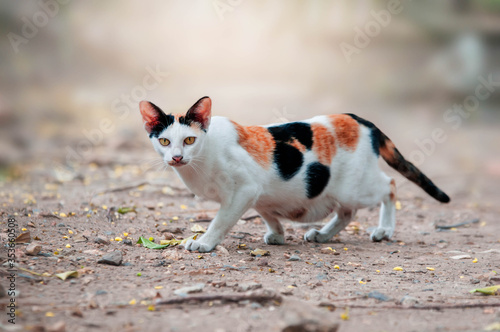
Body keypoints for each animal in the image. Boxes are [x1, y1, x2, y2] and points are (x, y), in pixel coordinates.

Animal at [140, 96, 450, 252]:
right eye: (164, 141)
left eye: (189, 140)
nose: (176, 157)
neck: (201, 161)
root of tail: (361, 120)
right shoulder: (257, 193)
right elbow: (266, 212)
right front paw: (277, 234)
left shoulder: (244, 190)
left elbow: (220, 222)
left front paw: (204, 243)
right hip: (341, 192)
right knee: (347, 213)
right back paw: (322, 235)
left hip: (357, 188)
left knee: (390, 185)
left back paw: (384, 229)